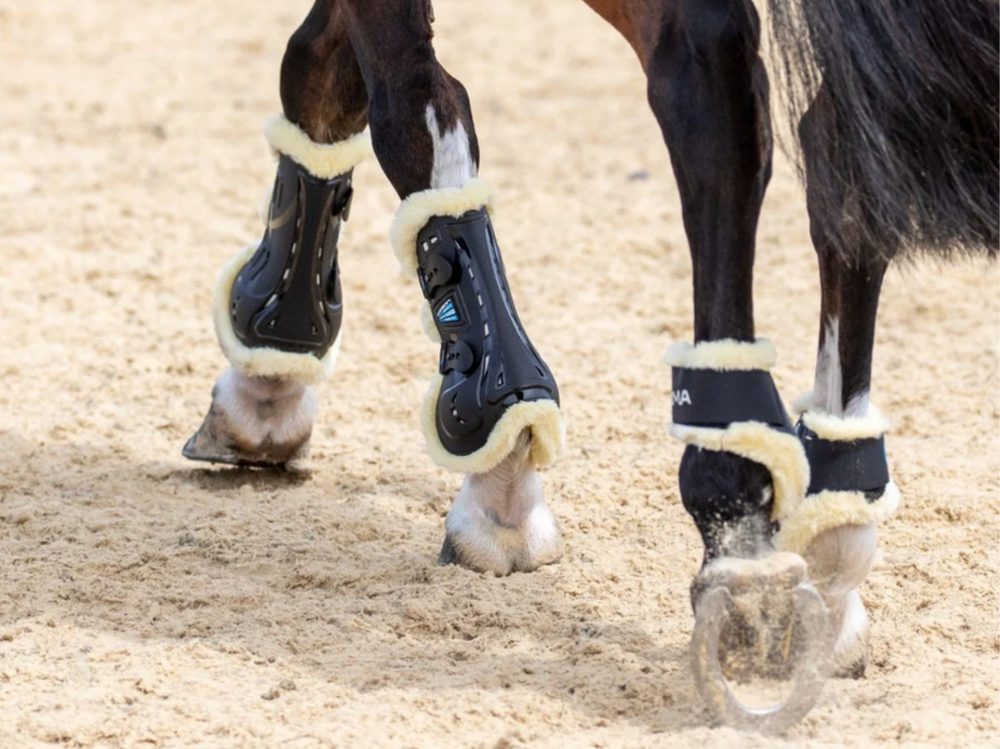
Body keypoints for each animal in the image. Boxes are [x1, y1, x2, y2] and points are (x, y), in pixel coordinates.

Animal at [181, 0, 999, 728]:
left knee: (704, 84)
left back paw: (735, 517)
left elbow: (397, 96)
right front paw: (277, 350)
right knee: (843, 149)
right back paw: (837, 529)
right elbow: (326, 71)